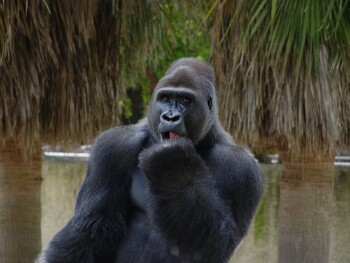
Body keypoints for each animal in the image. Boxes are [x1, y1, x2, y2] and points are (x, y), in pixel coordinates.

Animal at [38, 57, 262, 263]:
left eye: (185, 101)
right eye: (165, 98)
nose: (170, 117)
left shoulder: (242, 169)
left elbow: (217, 243)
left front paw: (173, 167)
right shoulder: (112, 148)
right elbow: (90, 229)